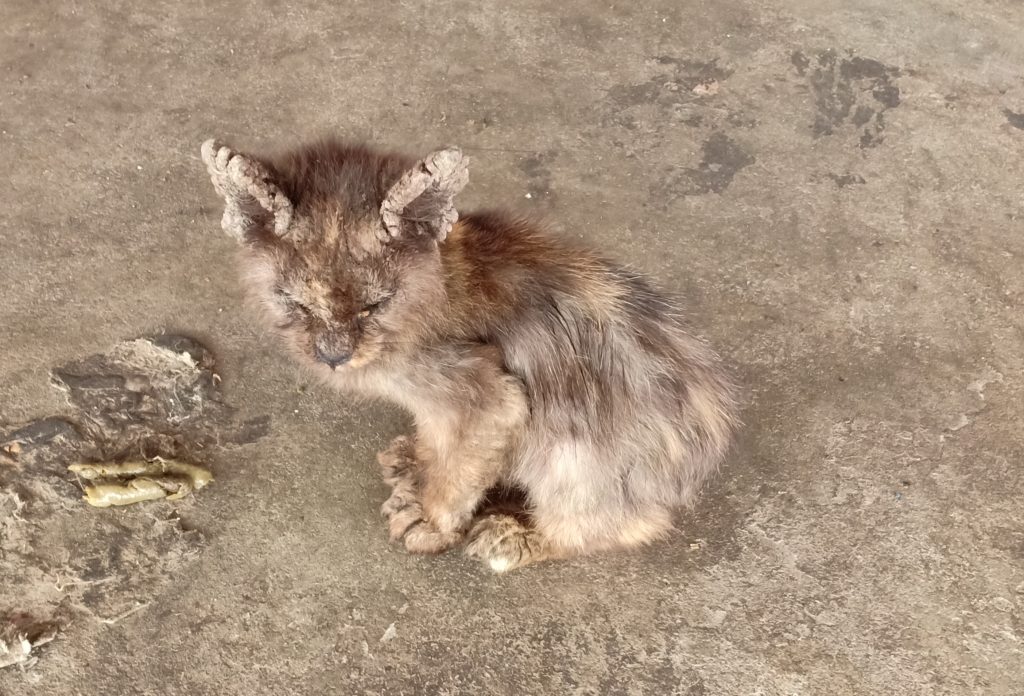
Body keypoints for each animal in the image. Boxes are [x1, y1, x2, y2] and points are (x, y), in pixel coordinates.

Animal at [199, 136, 737, 569]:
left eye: (376, 304)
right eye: (295, 302)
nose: (333, 357)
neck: (440, 284)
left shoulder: (488, 395)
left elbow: (459, 468)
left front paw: (432, 519)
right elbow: (441, 442)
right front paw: (417, 463)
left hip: (572, 457)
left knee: (632, 524)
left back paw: (517, 537)